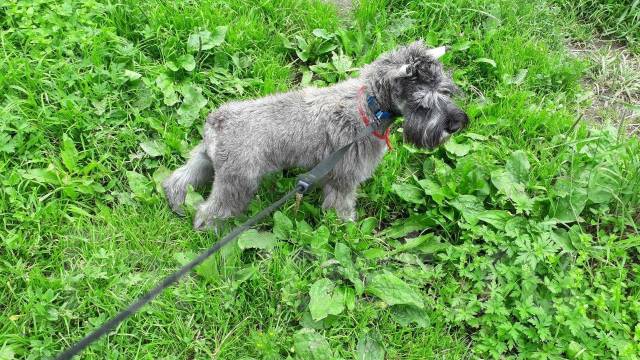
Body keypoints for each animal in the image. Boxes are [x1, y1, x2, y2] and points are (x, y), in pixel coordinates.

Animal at [162, 40, 468, 231]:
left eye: (445, 90)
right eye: (422, 102)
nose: (455, 124)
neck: (369, 107)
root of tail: (219, 121)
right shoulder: (345, 178)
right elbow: (341, 206)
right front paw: (344, 227)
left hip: (204, 160)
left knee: (180, 179)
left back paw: (176, 202)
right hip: (237, 183)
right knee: (211, 210)